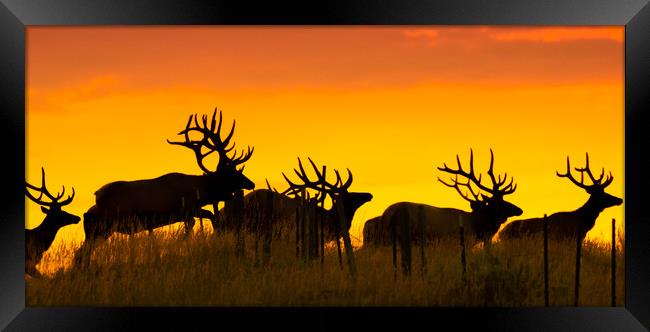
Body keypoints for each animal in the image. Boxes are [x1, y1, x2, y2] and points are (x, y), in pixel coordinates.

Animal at [74, 109, 254, 268]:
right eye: (233, 173)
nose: (251, 184)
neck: (200, 191)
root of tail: (93, 204)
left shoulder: (191, 210)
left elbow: (209, 216)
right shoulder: (186, 209)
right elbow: (200, 220)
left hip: (99, 230)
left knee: (82, 252)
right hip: (104, 226)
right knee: (82, 253)